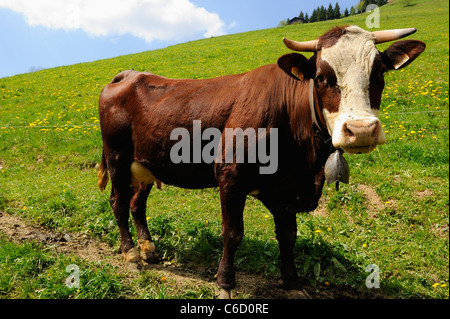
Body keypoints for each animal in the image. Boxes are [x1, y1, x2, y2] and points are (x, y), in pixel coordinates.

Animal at [97, 25, 426, 298]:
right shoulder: (230, 176)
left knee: (137, 203)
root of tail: (128, 74)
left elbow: (288, 236)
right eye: (321, 77)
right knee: (119, 202)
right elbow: (232, 233)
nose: (361, 130)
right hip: (117, 158)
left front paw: (293, 283)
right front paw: (225, 284)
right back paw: (130, 252)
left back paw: (148, 248)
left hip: (146, 164)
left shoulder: (287, 188)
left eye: (379, 74)